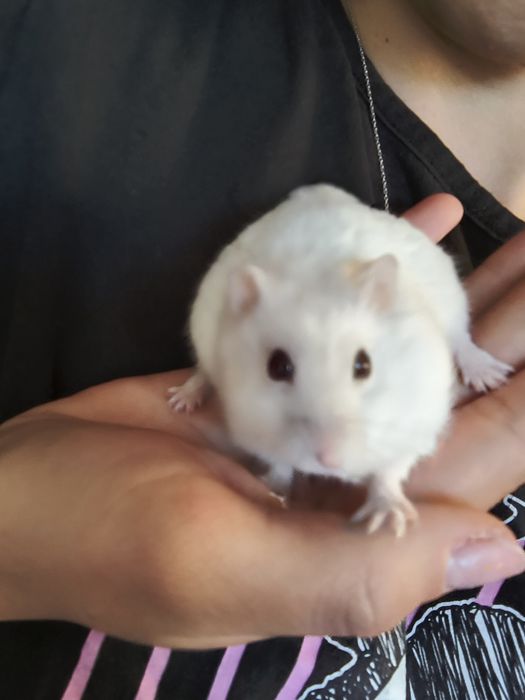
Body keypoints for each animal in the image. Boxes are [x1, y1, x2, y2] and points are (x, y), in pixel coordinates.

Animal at [168, 184, 512, 536]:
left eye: (364, 365)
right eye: (277, 367)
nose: (329, 461)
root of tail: (319, 193)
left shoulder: (415, 422)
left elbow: (390, 470)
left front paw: (388, 521)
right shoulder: (252, 425)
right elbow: (279, 463)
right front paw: (272, 490)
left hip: (453, 302)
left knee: (462, 341)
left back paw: (491, 375)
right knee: (203, 372)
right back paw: (182, 400)